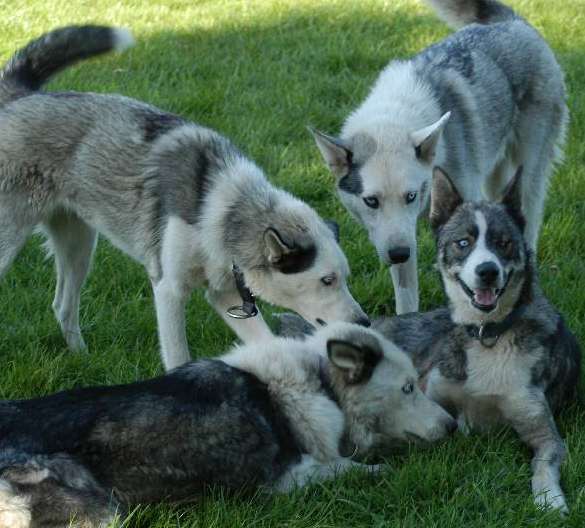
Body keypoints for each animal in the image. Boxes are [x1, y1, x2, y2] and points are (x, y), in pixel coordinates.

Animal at [0, 26, 368, 370]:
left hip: (78, 247)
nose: (363, 322)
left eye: (345, 277)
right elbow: (178, 356)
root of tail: (20, 98)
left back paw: (82, 357)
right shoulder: (169, 290)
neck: (221, 206)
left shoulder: (225, 295)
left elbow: (267, 342)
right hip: (13, 244)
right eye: (327, 280)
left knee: (62, 305)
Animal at [0, 322, 454, 528]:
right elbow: (363, 469)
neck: (320, 381)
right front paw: (379, 468)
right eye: (408, 388)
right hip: (102, 512)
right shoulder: (288, 478)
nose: (452, 426)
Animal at [312, 0, 568, 314]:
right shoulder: (400, 237)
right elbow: (407, 297)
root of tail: (512, 21)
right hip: (495, 179)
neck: (395, 116)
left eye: (411, 196)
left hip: (528, 176)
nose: (398, 254)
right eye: (371, 201)